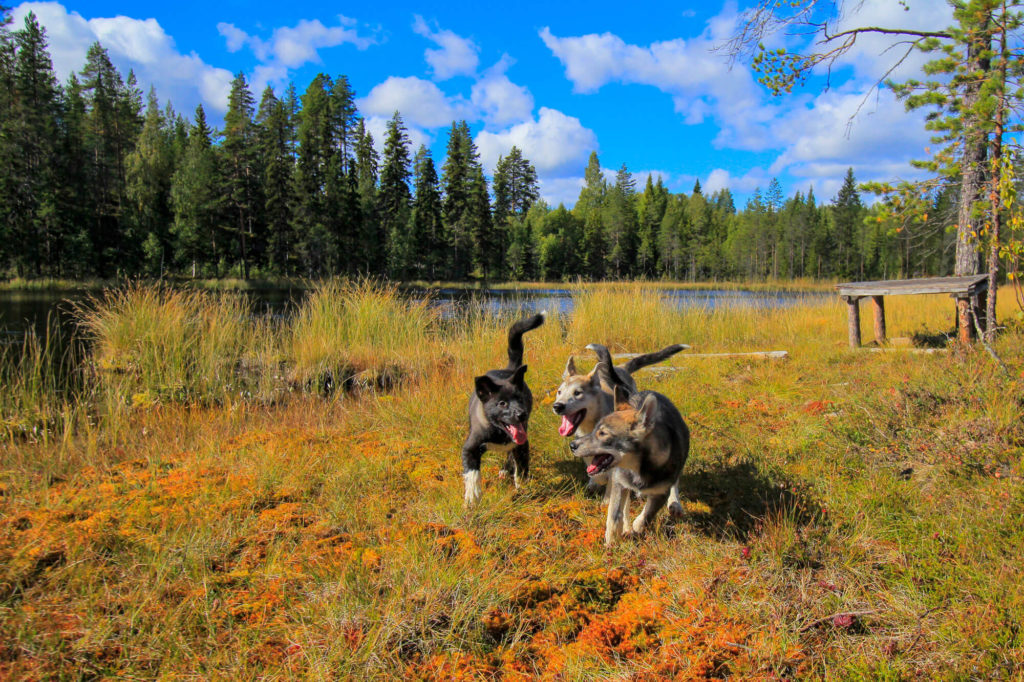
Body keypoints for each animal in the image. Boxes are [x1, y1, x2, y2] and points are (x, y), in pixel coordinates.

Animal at [552, 339, 688, 509]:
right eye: (559, 392)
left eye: (577, 393)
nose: (557, 406)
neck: (591, 422)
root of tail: (621, 367)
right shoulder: (585, 441)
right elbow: (593, 463)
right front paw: (595, 480)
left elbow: (611, 477)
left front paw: (607, 499)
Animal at [569, 385, 688, 544]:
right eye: (594, 430)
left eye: (603, 433)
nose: (572, 445)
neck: (638, 469)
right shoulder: (619, 483)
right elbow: (614, 516)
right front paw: (611, 540)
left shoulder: (660, 492)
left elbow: (646, 516)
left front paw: (636, 527)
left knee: (675, 483)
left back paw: (675, 504)